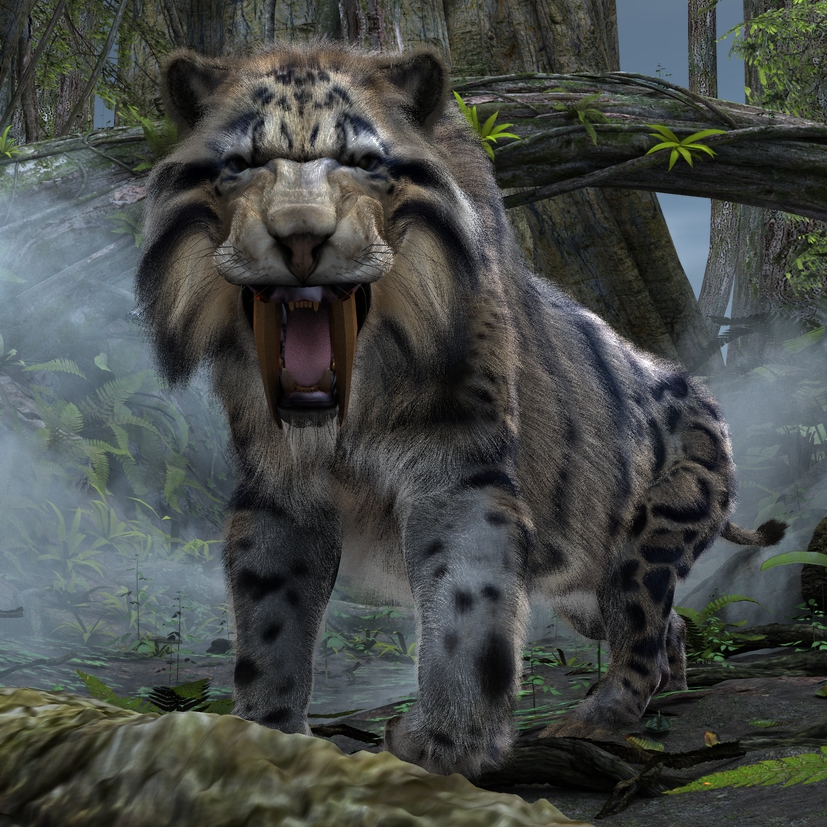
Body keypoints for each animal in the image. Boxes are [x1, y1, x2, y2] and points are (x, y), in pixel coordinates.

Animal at [135, 41, 786, 778]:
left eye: (364, 163)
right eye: (243, 164)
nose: (300, 238)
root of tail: (711, 404)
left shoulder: (459, 479)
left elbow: (465, 608)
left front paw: (447, 745)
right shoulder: (279, 494)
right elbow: (270, 620)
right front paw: (266, 737)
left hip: (642, 551)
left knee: (641, 637)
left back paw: (590, 723)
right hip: (587, 580)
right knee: (657, 625)